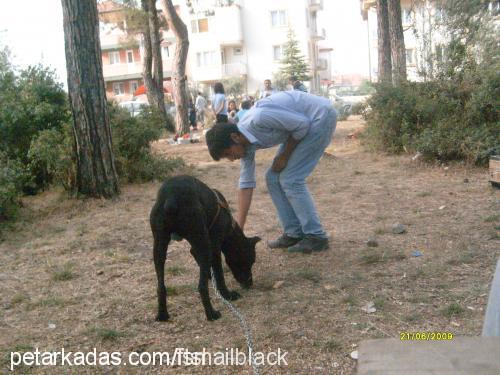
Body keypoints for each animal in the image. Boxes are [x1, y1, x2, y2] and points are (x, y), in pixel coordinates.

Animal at [149, 176, 262, 320]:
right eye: (250, 261)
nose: (250, 283)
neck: (230, 227)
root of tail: (171, 197)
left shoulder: (196, 248)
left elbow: (204, 265)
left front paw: (209, 275)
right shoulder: (214, 248)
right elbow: (219, 275)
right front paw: (226, 294)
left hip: (159, 246)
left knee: (161, 286)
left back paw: (162, 314)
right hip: (203, 246)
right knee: (202, 287)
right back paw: (211, 314)